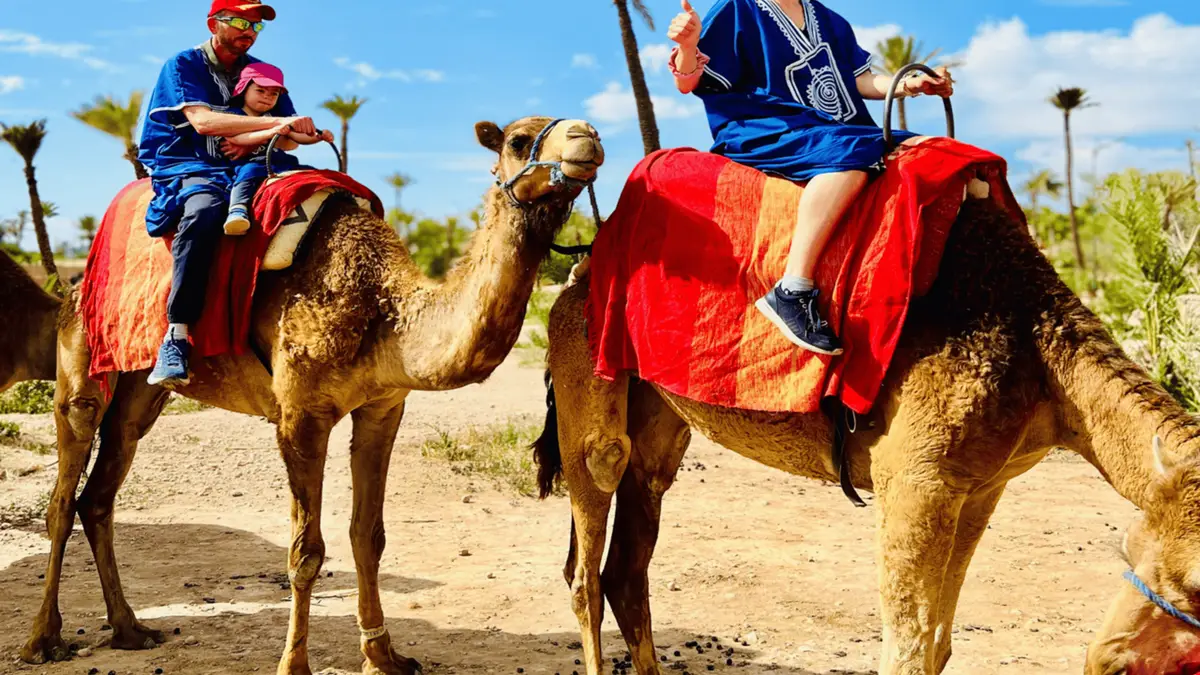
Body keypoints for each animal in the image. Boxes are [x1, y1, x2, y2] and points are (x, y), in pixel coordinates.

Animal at [19, 116, 605, 675]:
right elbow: (305, 551)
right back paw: (42, 640)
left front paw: (383, 656)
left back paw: (129, 629)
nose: (589, 138)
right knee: (63, 492)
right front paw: (294, 663)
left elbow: (368, 536)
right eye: (519, 139)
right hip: (82, 362)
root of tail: (77, 279)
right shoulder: (301, 414)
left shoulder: (383, 407)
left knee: (101, 489)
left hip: (140, 392)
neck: (384, 309)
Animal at [534, 193, 1200, 675]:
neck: (1038, 354)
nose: (1105, 662)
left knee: (630, 555)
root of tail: (574, 273)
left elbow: (938, 644)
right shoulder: (914, 478)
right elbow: (906, 649)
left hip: (660, 420)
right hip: (585, 367)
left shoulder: (982, 486)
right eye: (1124, 548)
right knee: (588, 551)